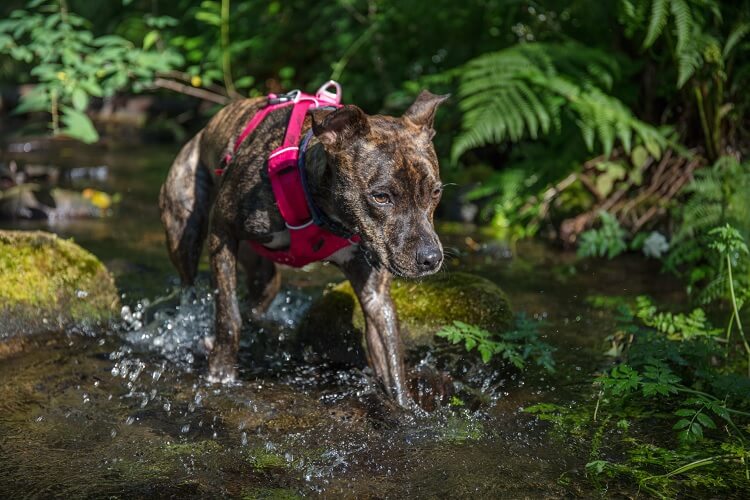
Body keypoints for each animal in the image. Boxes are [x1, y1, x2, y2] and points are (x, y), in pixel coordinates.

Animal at [159, 88, 450, 406]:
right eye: (381, 196)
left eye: (436, 192)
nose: (431, 258)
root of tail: (203, 131)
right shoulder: (222, 232)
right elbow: (227, 315)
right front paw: (220, 372)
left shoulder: (374, 290)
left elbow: (390, 353)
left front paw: (404, 407)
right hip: (185, 229)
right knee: (190, 286)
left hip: (262, 272)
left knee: (258, 298)